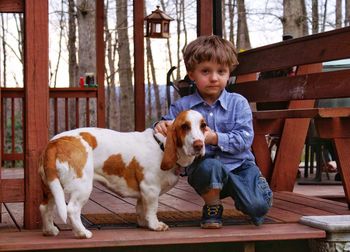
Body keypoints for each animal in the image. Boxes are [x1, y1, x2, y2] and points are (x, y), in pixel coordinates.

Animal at [38, 110, 206, 238]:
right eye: (185, 126)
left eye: (203, 126)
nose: (199, 145)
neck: (162, 145)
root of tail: (55, 143)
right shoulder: (150, 189)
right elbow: (152, 209)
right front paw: (155, 225)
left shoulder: (143, 193)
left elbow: (141, 209)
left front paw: (144, 223)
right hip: (82, 187)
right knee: (72, 209)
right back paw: (82, 233)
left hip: (51, 188)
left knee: (45, 208)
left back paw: (50, 230)